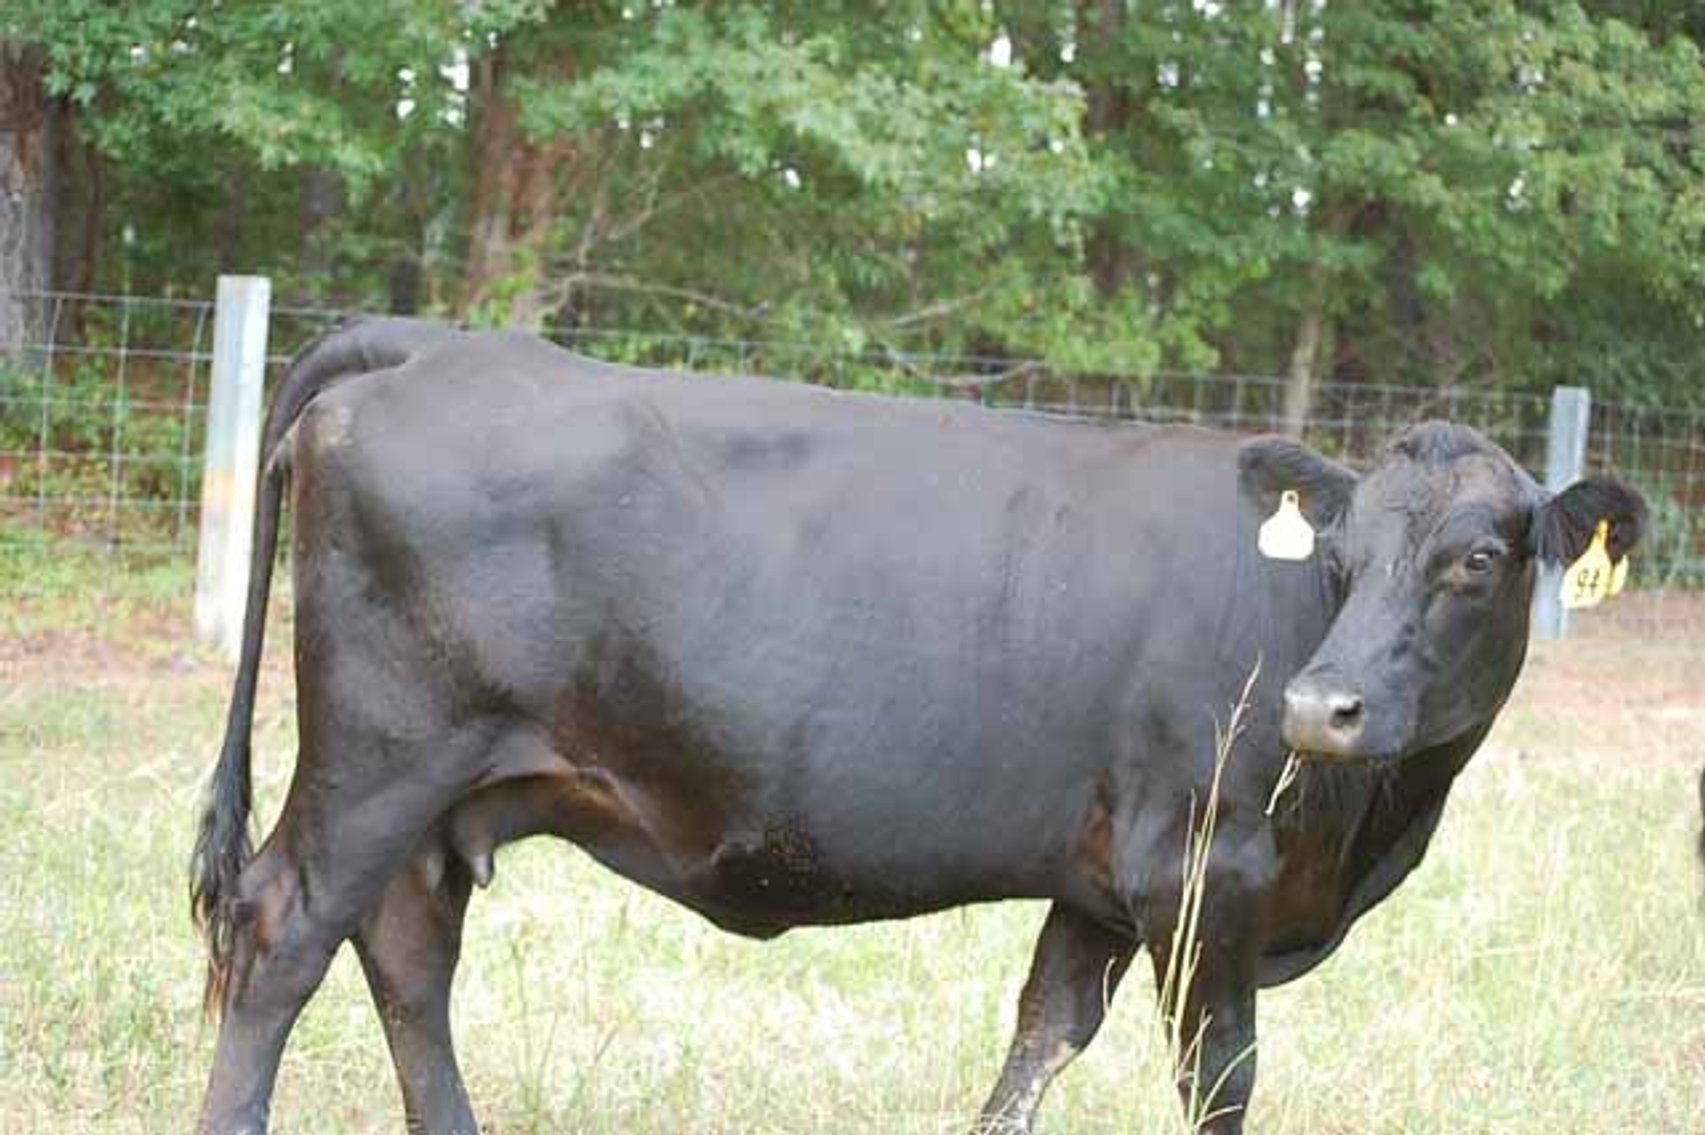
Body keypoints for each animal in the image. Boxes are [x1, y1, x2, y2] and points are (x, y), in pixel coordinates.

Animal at [190, 319, 1645, 1134]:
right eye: (1337, 556)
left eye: (1475, 561)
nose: (1312, 707)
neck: (1362, 831)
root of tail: (437, 343)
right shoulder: (1200, 872)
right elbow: (1218, 1078)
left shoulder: (1099, 886)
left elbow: (1037, 1043)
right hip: (380, 760)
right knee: (282, 938)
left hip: (440, 794)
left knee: (408, 955)